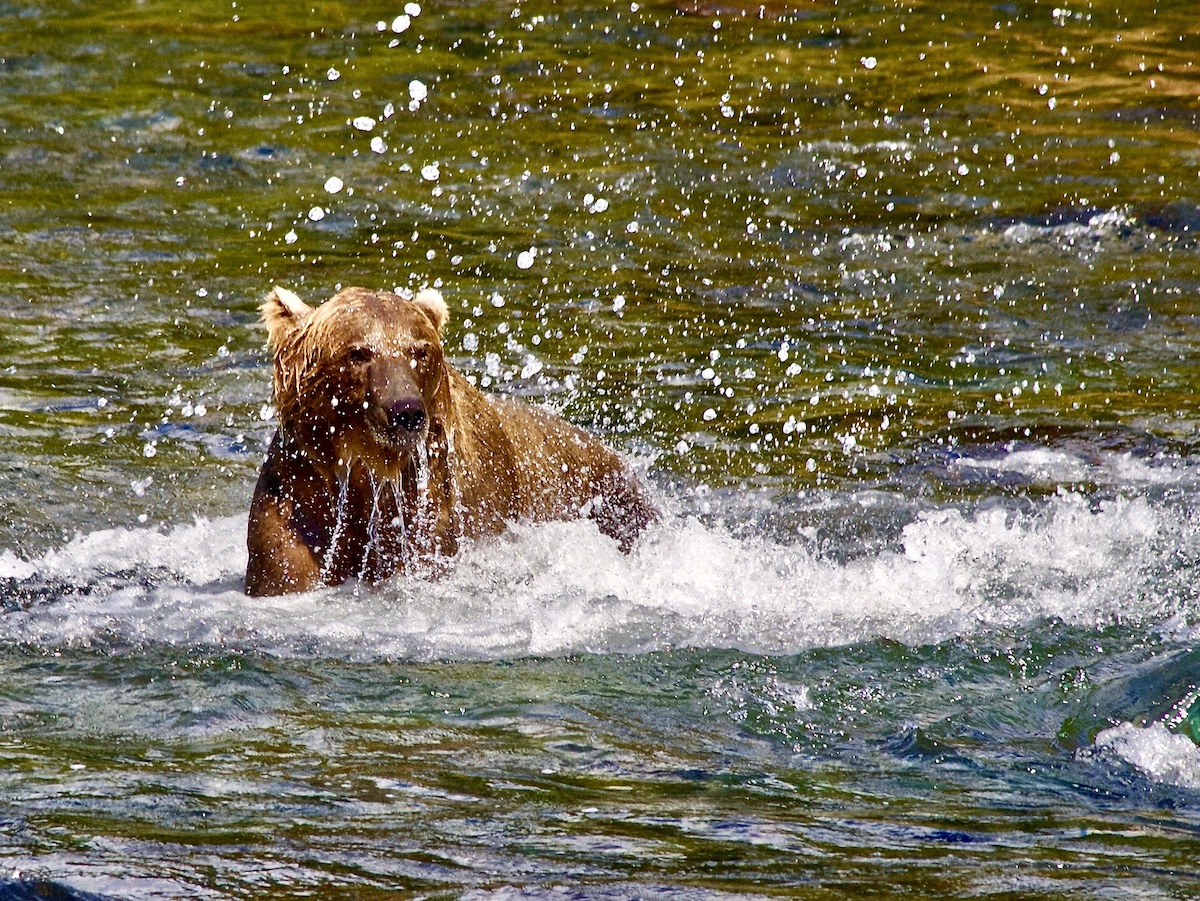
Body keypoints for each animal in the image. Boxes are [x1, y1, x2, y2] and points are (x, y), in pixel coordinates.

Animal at [243, 285, 657, 595]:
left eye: (419, 350)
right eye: (358, 351)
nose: (405, 412)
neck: (368, 472)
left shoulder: (441, 505)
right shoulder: (299, 497)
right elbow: (285, 563)